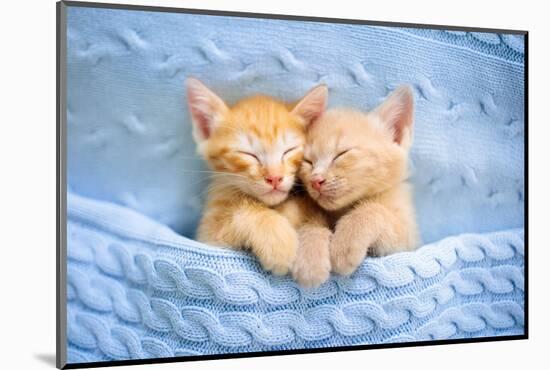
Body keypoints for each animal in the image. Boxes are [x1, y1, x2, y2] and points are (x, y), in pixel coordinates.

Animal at [188, 77, 330, 278]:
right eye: (248, 154)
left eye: (289, 151)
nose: (275, 178)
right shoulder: (207, 236)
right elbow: (245, 212)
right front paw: (277, 241)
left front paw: (312, 257)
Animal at [300, 86, 420, 278]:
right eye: (308, 161)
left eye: (341, 154)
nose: (315, 180)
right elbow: (309, 221)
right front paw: (310, 255)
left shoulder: (408, 240)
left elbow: (372, 209)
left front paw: (344, 245)